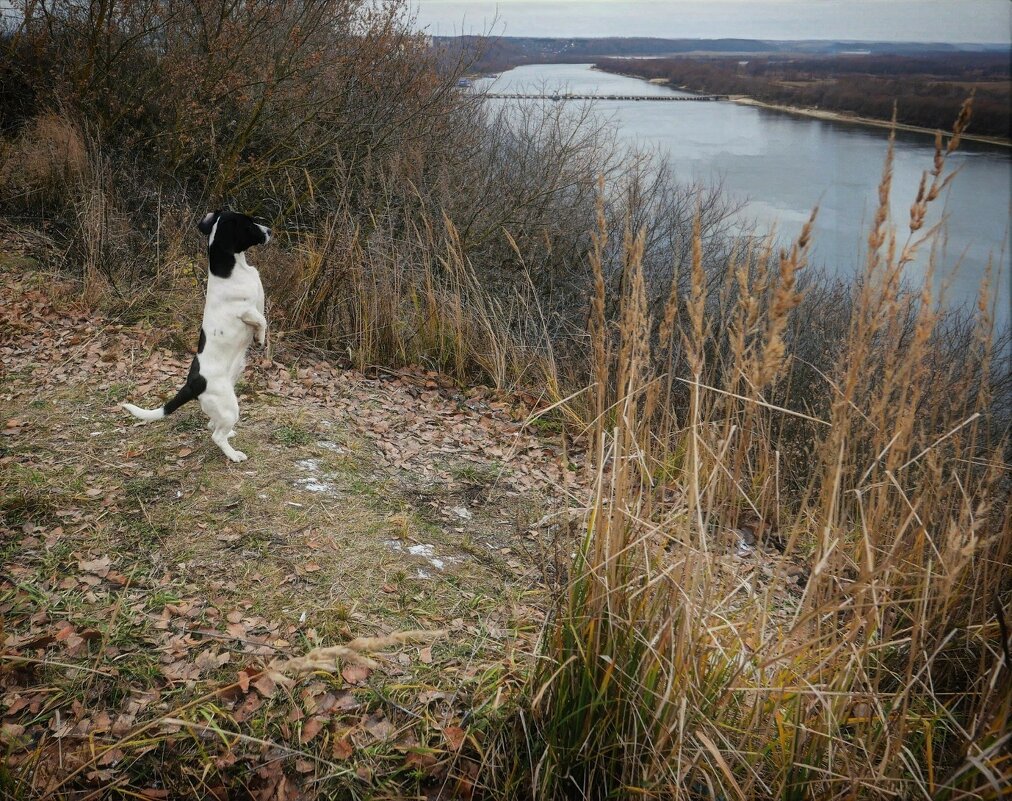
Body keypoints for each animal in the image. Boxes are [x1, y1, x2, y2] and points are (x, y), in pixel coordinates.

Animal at [120, 211, 271, 463]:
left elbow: (263, 318)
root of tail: (193, 384)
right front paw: (260, 338)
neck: (233, 270)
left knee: (214, 425)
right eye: (249, 224)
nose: (269, 230)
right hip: (229, 406)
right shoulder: (246, 311)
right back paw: (233, 454)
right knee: (216, 435)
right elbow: (262, 321)